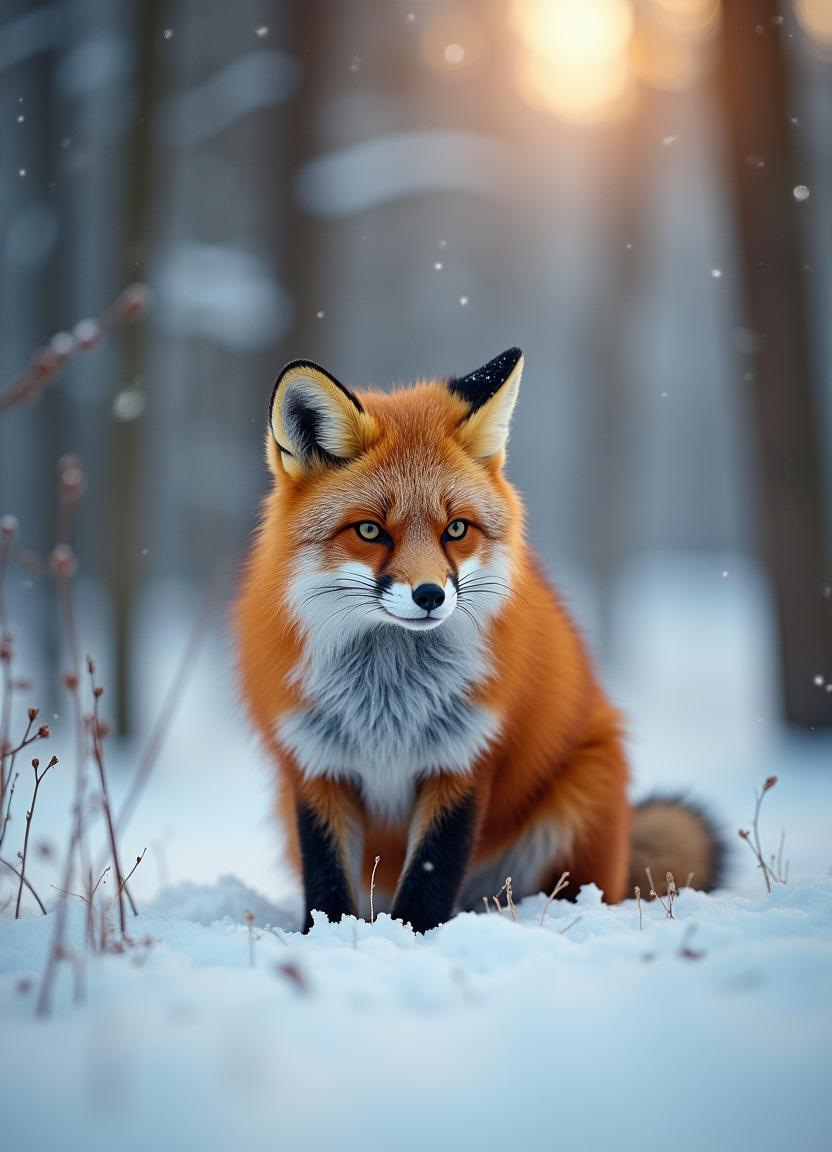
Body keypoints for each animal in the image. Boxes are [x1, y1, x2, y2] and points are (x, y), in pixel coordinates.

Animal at [235, 348, 724, 933]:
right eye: (371, 531)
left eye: (456, 529)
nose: (429, 595)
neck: (387, 702)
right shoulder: (314, 765)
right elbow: (328, 881)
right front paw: (326, 936)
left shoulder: (465, 759)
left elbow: (431, 873)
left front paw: (413, 936)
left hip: (579, 803)